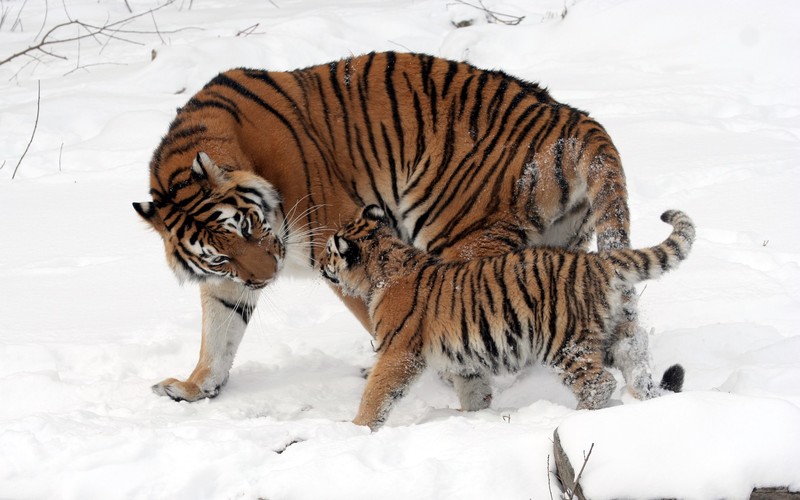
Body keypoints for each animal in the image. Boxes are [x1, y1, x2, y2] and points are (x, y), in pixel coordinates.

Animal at [132, 51, 646, 405]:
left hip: (459, 235)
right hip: (561, 245)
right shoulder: (228, 281)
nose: (267, 277)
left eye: (248, 226)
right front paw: (195, 387)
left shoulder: (338, 238)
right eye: (220, 255)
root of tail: (574, 119)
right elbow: (218, 334)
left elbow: (378, 311)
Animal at [321, 205, 694, 430]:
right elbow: (473, 390)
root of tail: (597, 261)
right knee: (637, 365)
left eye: (328, 251)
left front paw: (356, 428)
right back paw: (647, 404)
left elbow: (377, 393)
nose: (321, 264)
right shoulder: (464, 359)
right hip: (616, 334)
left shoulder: (398, 352)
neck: (383, 267)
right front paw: (470, 416)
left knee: (599, 382)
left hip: (564, 343)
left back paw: (574, 419)